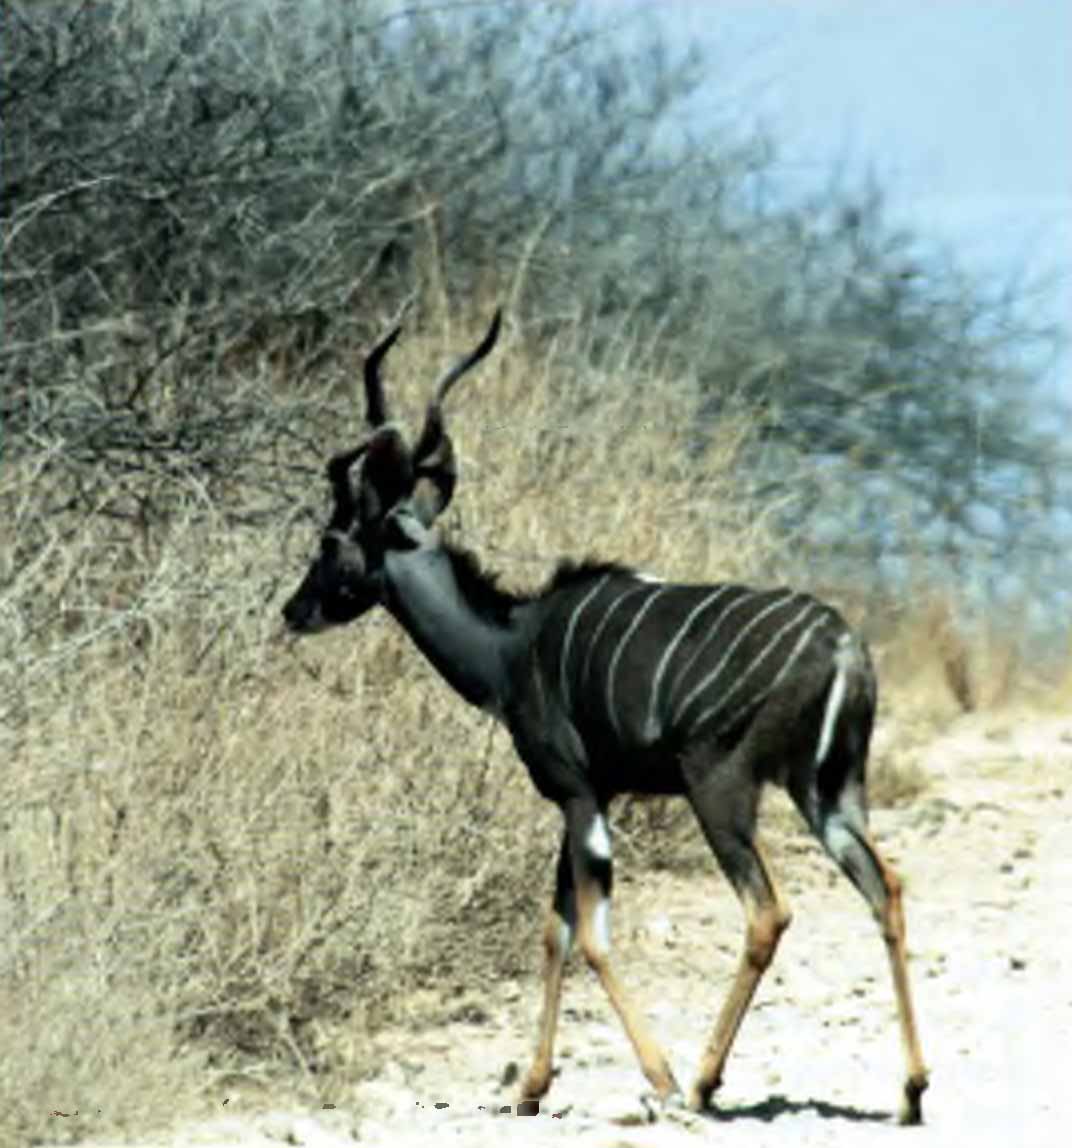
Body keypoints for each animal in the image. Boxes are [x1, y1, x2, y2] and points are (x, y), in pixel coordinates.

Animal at [283, 309, 931, 1125]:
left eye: (331, 539)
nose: (294, 610)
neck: (509, 645)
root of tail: (843, 647)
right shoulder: (595, 795)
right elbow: (555, 929)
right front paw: (530, 1087)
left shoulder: (576, 792)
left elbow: (590, 937)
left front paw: (658, 1077)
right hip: (831, 792)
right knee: (887, 890)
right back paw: (911, 1089)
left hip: (722, 789)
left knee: (768, 912)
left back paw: (703, 1082)